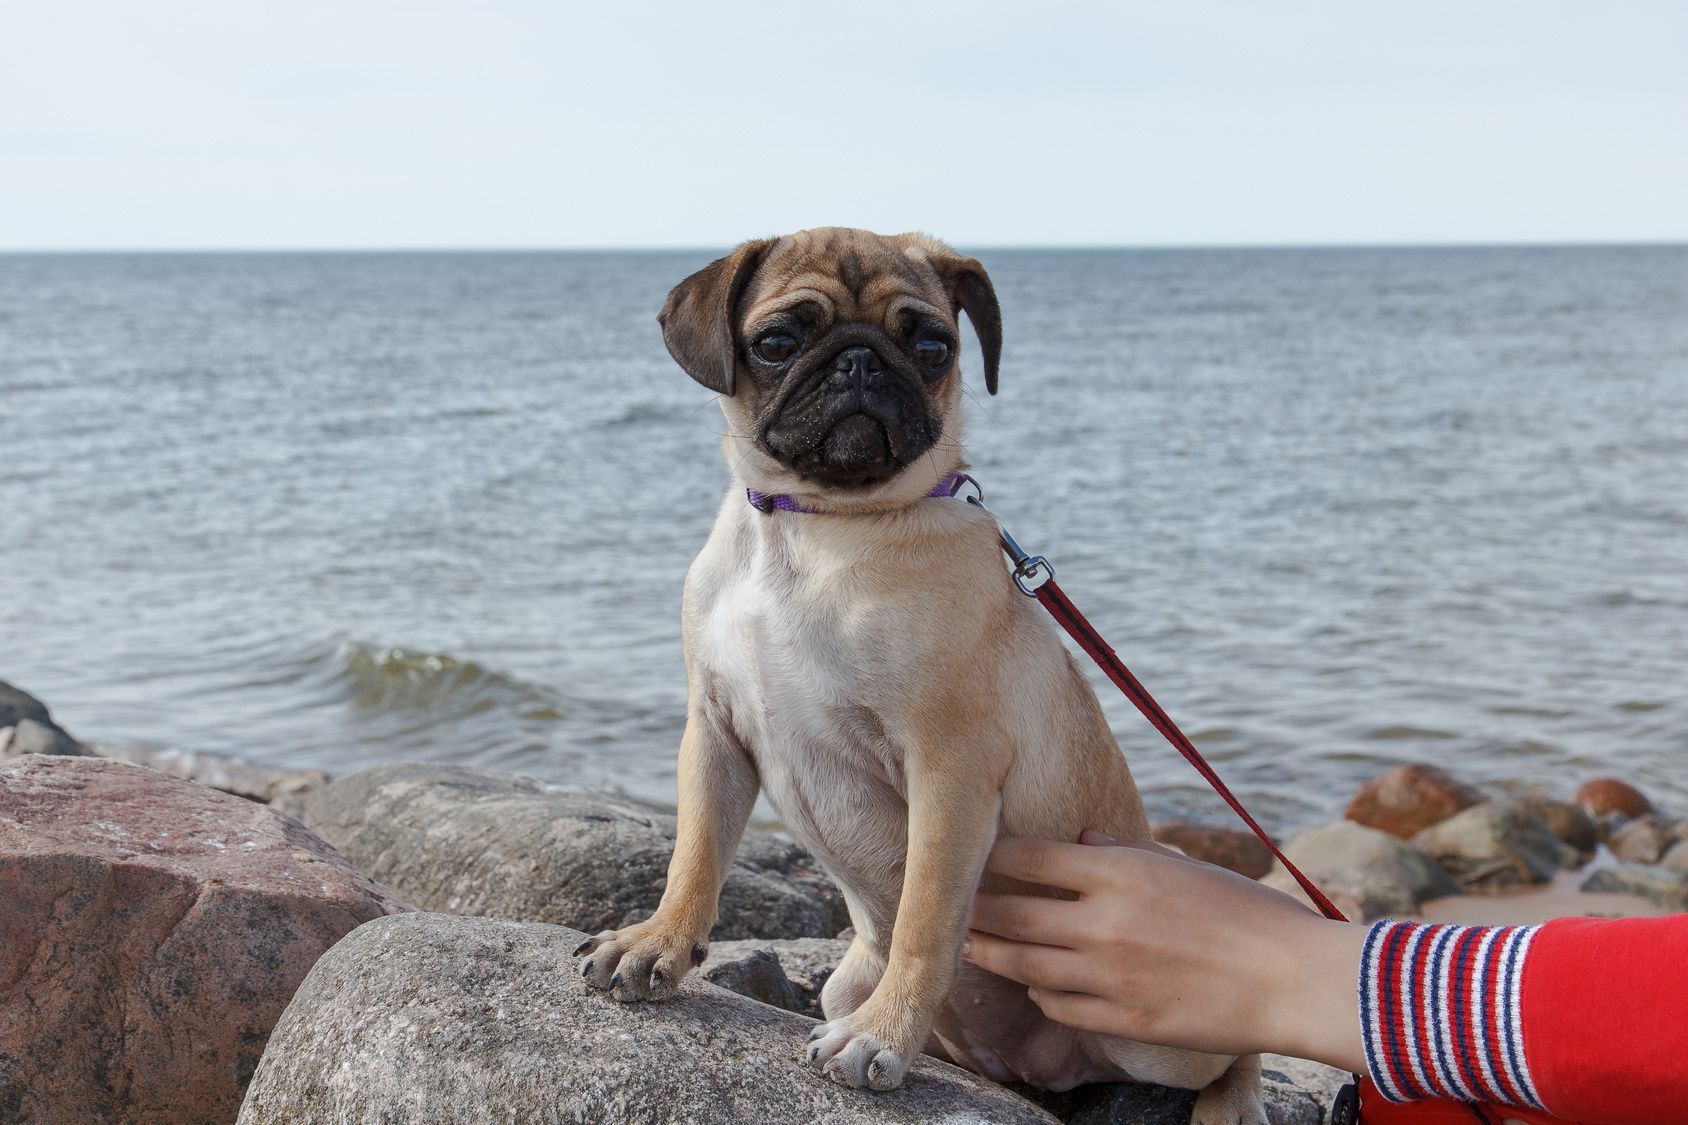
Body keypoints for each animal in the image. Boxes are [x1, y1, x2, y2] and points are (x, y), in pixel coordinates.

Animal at [580, 228, 1269, 1121]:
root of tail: (1039, 1069)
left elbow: (925, 920)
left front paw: (885, 1034)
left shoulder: (948, 771)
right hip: (844, 986)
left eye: (933, 346)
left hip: (1153, 1036)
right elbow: (694, 854)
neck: (818, 527)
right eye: (778, 342)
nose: (860, 361)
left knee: (1235, 1040)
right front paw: (657, 943)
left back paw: (1233, 1099)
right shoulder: (715, 732)